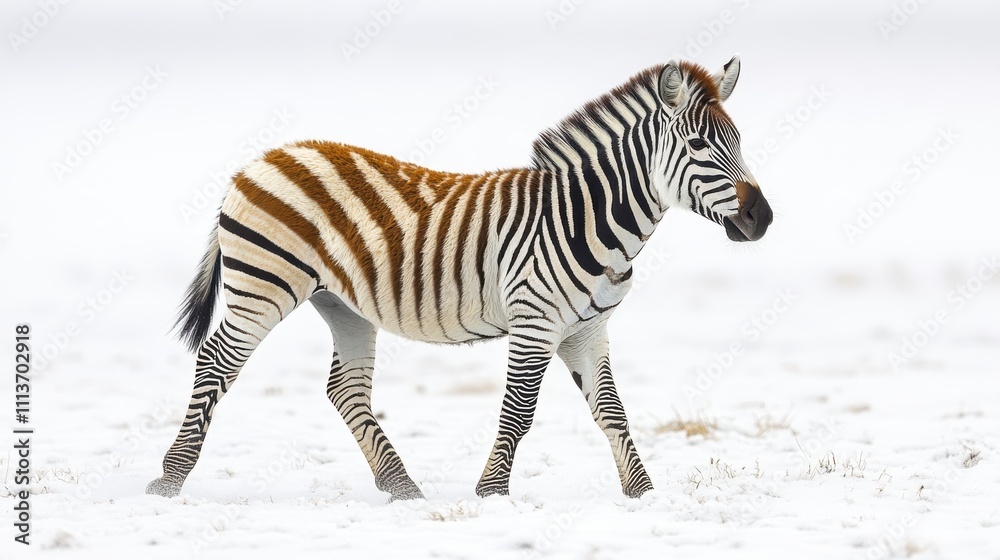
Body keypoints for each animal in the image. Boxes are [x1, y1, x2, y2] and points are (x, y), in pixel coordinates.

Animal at [147, 55, 772, 501]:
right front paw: (491, 493)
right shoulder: (535, 321)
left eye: (739, 141)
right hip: (264, 285)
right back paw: (169, 480)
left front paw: (642, 494)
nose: (762, 219)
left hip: (341, 304)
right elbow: (519, 412)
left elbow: (611, 413)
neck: (586, 218)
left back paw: (401, 488)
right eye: (698, 145)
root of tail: (259, 159)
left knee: (345, 389)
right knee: (216, 362)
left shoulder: (587, 330)